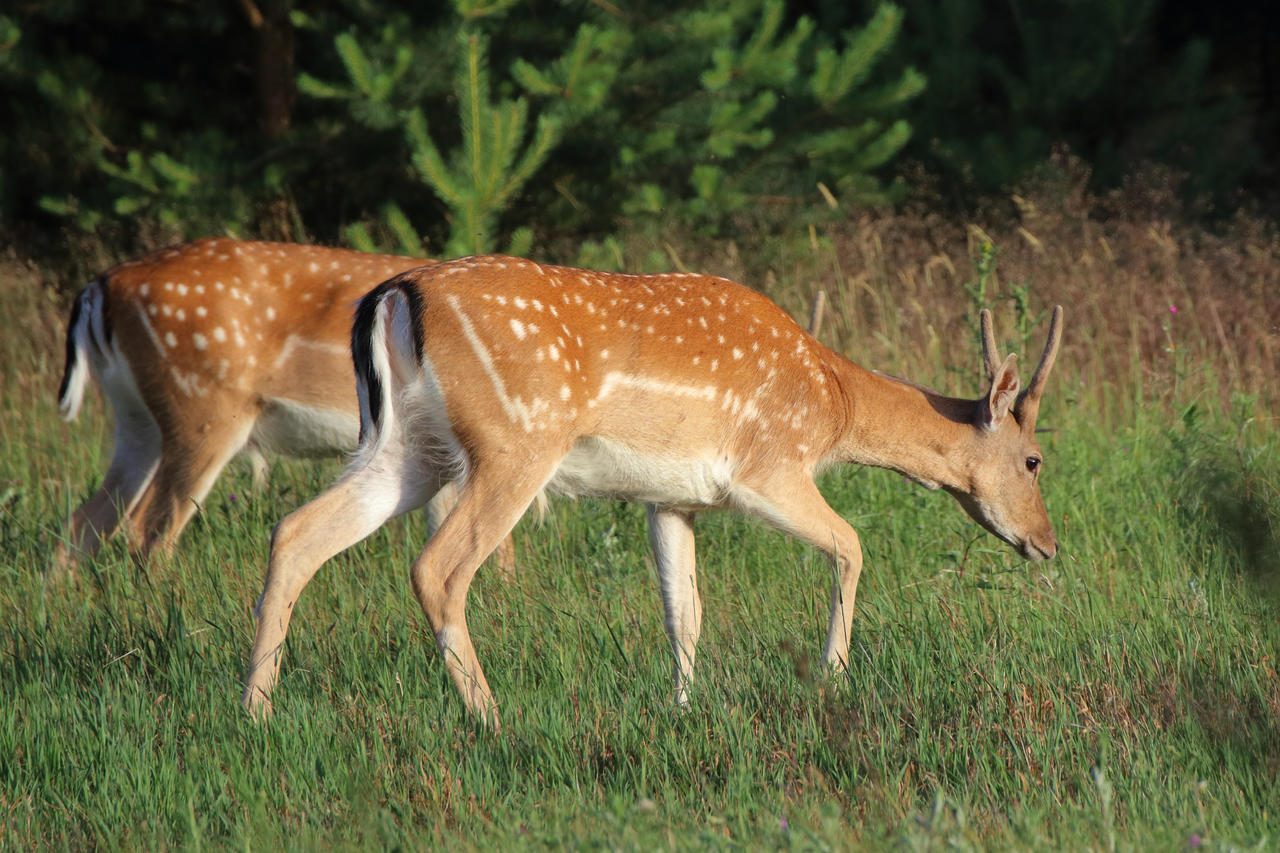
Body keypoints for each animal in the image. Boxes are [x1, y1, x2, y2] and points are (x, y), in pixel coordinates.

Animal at [240, 252, 1059, 722]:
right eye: (1034, 460)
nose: (1048, 545)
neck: (833, 405)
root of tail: (394, 292)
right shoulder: (767, 467)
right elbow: (852, 545)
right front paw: (832, 679)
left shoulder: (673, 497)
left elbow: (683, 611)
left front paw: (681, 710)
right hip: (515, 439)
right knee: (437, 567)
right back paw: (493, 719)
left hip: (405, 444)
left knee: (297, 531)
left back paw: (255, 713)